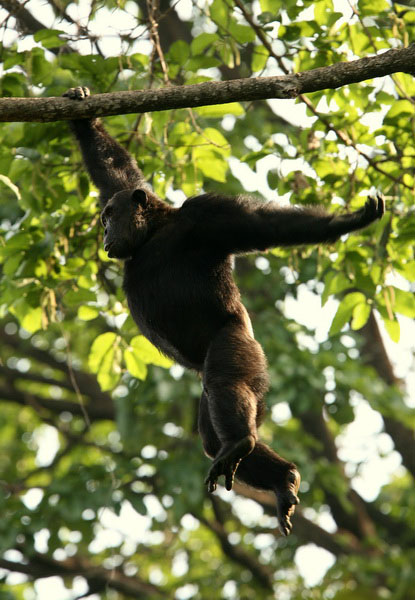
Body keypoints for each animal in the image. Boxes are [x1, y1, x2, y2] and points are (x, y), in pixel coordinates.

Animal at [62, 85, 386, 536]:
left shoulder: (207, 214)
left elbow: (264, 228)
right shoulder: (129, 190)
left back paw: (241, 443)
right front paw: (82, 115)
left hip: (238, 347)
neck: (155, 233)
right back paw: (282, 479)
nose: (106, 231)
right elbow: (114, 170)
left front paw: (350, 220)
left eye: (111, 217)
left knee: (225, 386)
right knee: (212, 435)